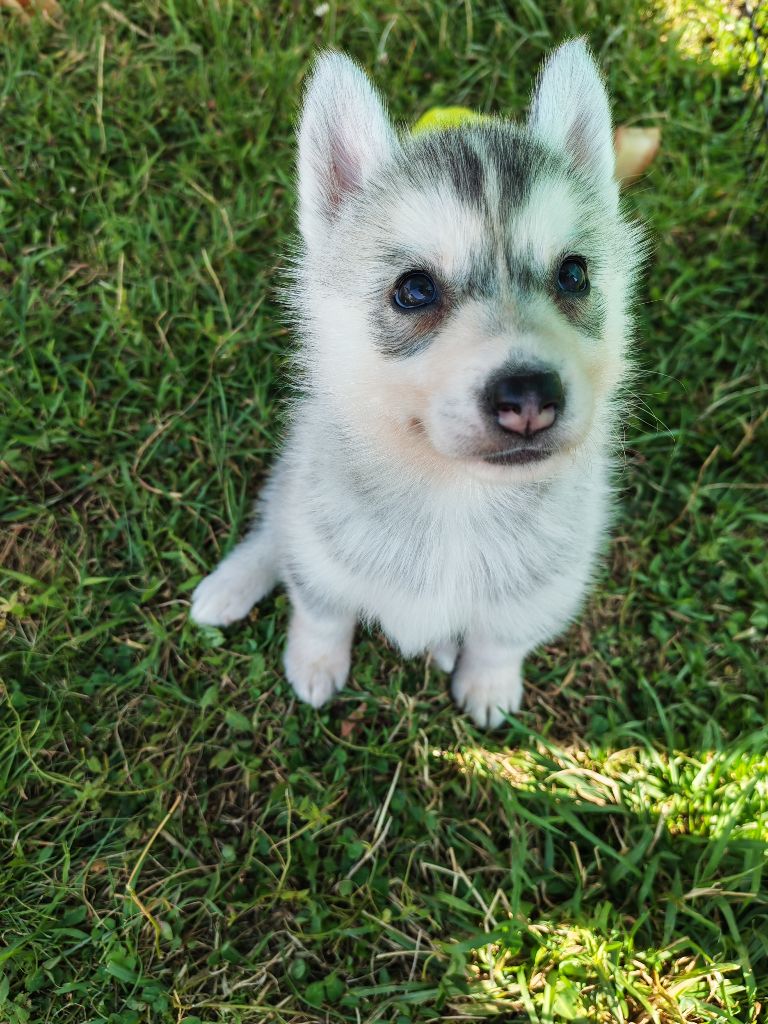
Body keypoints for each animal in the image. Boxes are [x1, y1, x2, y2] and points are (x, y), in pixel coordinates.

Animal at [190, 40, 644, 728]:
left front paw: (487, 681)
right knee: (275, 527)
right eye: (414, 290)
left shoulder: (545, 587)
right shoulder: (320, 549)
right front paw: (314, 664)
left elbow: (502, 637)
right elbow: (320, 608)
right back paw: (231, 583)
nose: (529, 398)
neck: (458, 499)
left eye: (573, 275)